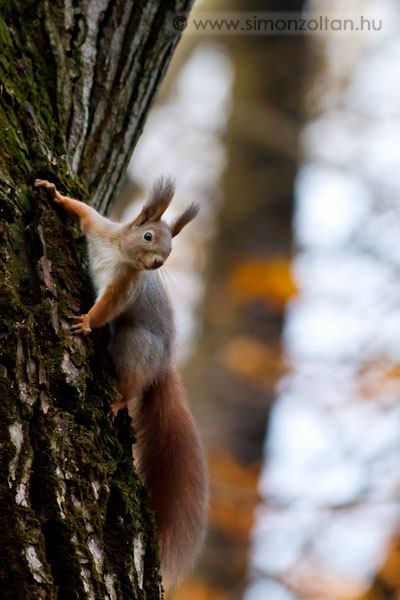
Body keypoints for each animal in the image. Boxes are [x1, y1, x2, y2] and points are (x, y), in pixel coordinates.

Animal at [33, 176, 209, 588]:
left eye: (171, 248)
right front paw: (53, 193)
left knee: (132, 384)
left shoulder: (125, 285)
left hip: (134, 346)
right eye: (148, 235)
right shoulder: (102, 230)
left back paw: (117, 400)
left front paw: (85, 322)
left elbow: (106, 308)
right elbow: (83, 212)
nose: (159, 263)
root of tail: (163, 364)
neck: (121, 253)